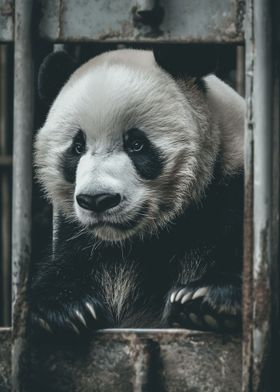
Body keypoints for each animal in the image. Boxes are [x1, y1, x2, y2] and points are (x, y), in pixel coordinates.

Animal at [30, 46, 244, 334]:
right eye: (77, 147)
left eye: (136, 144)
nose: (97, 200)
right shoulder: (83, 237)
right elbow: (71, 264)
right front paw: (66, 308)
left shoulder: (230, 190)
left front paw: (204, 299)